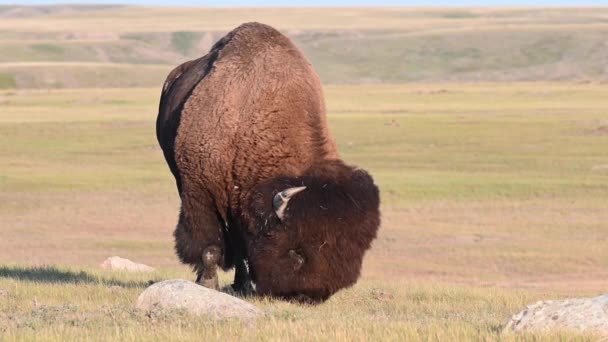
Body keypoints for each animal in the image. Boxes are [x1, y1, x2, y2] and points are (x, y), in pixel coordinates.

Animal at [156, 22, 380, 302]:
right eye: (296, 252)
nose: (310, 295)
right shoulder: (200, 192)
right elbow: (209, 246)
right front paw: (208, 284)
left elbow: (240, 247)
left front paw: (241, 286)